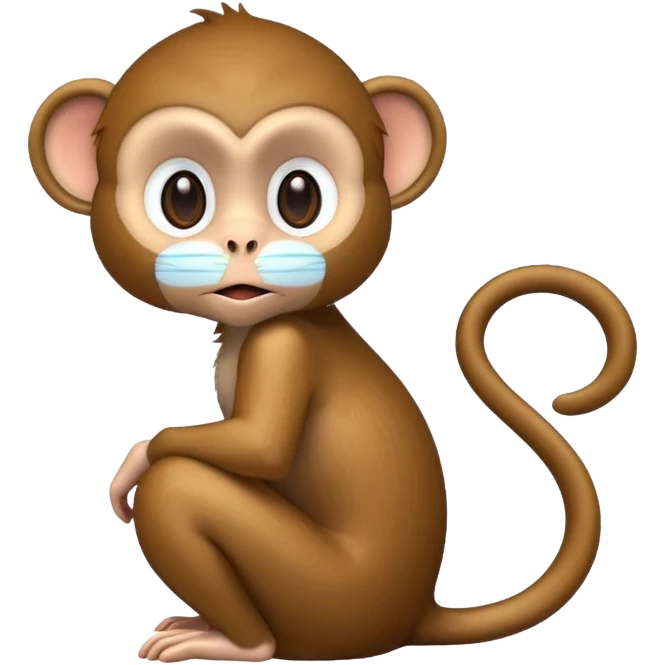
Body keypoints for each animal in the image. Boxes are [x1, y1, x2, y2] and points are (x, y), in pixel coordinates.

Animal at [26, 3, 636, 663]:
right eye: (181, 198)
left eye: (300, 197)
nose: (242, 241)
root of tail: (412, 616)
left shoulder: (283, 347)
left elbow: (257, 446)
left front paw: (137, 458)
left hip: (321, 595)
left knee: (178, 488)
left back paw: (241, 643)